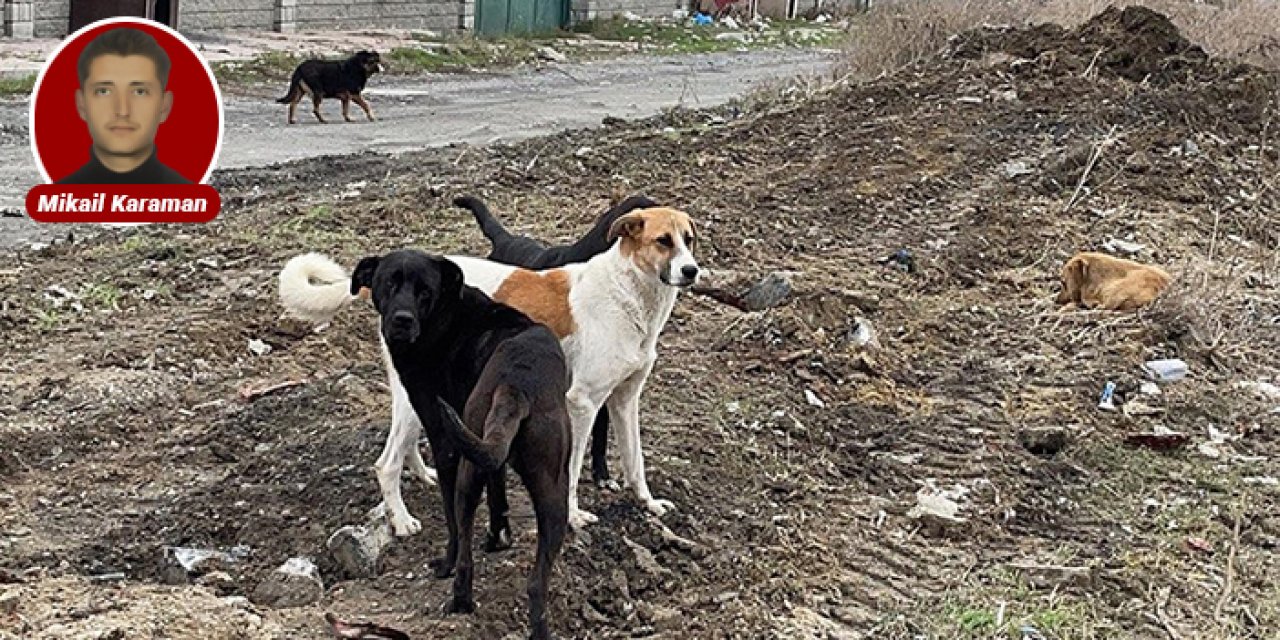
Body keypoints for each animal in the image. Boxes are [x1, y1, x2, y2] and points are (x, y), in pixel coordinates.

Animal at [353, 248, 568, 640]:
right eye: (389, 283)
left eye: (425, 290)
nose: (402, 321)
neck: (445, 317)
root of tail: (517, 383)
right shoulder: (487, 449)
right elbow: (497, 491)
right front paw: (499, 538)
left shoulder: (445, 441)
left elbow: (452, 519)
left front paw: (447, 561)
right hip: (551, 492)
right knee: (536, 582)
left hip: (467, 470)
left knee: (462, 539)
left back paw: (456, 586)